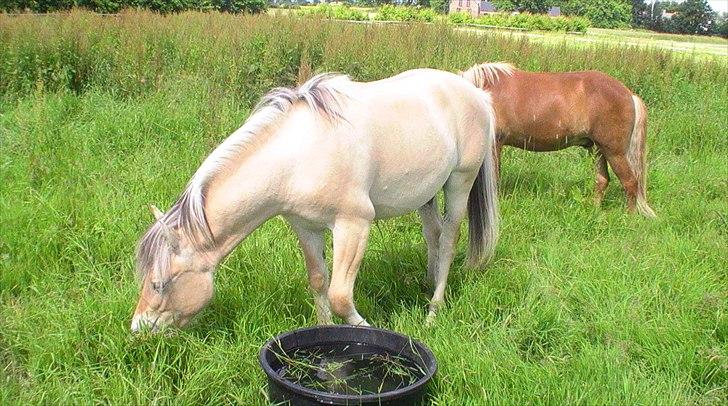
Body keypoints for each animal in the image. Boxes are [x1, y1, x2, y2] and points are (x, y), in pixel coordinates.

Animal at [131, 70, 498, 334]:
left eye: (159, 284)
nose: (139, 328)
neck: (297, 156)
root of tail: (476, 94)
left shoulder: (353, 225)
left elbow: (340, 297)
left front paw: (367, 329)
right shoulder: (306, 229)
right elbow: (319, 282)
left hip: (459, 183)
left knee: (448, 240)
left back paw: (434, 309)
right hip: (426, 195)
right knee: (433, 235)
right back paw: (426, 283)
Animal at [464, 61, 656, 217]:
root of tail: (629, 94)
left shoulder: (495, 143)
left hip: (615, 152)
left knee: (630, 182)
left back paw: (628, 217)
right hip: (599, 150)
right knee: (602, 180)